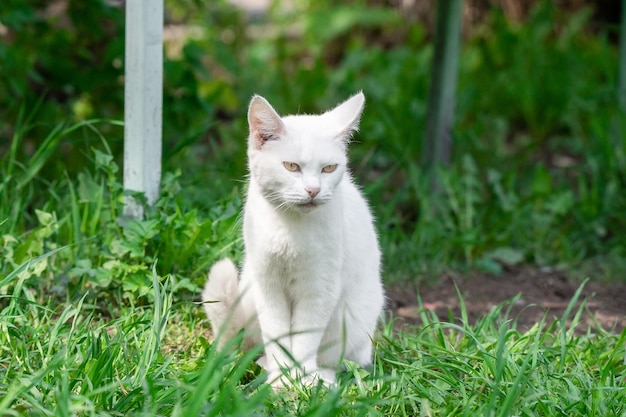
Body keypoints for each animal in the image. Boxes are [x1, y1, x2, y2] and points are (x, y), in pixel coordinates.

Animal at [202, 91, 382, 386]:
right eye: (291, 166)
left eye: (329, 168)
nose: (313, 190)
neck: (290, 229)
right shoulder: (267, 285)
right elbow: (277, 334)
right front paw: (280, 376)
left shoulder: (320, 288)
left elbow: (306, 339)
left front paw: (302, 378)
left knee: (341, 361)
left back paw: (324, 378)